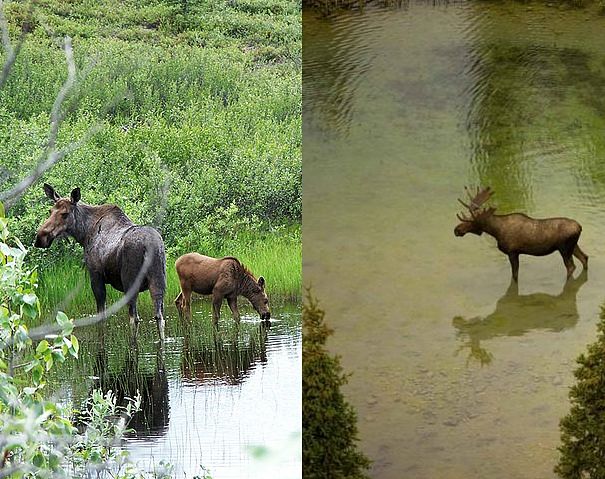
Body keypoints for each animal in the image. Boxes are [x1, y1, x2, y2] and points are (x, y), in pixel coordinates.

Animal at [35, 184, 168, 342]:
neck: (84, 234)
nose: (40, 238)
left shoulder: (95, 276)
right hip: (159, 282)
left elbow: (101, 318)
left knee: (134, 318)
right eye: (50, 211)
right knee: (159, 317)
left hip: (131, 283)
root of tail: (149, 246)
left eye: (65, 214)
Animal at [456, 185, 588, 282]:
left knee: (571, 266)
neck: (496, 232)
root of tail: (580, 227)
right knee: (585, 257)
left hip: (564, 248)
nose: (456, 230)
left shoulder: (512, 252)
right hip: (573, 246)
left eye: (472, 221)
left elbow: (515, 276)